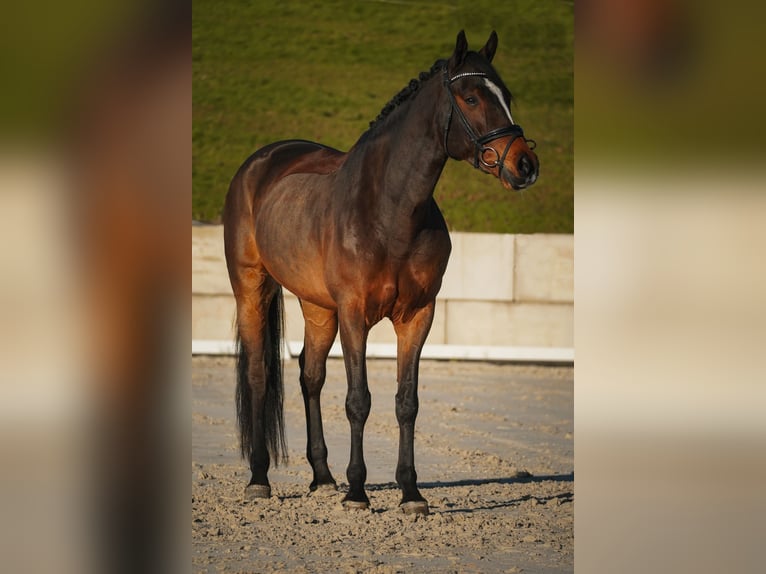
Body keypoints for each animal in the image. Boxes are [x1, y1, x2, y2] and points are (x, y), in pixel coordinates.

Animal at [222, 30, 539, 515]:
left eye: (506, 95)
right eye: (470, 97)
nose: (524, 165)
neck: (389, 211)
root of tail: (260, 162)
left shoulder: (417, 316)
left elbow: (406, 402)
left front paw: (410, 493)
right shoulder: (355, 314)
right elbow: (359, 400)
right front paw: (357, 492)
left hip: (317, 307)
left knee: (310, 374)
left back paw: (322, 477)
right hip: (251, 288)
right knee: (259, 373)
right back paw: (260, 478)